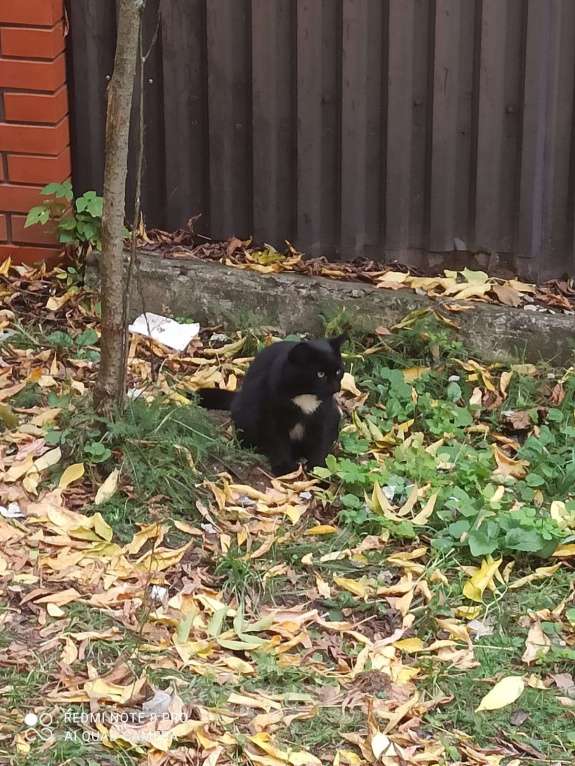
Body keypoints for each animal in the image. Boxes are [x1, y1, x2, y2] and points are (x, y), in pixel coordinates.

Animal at [196, 334, 346, 474]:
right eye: (320, 374)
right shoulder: (271, 418)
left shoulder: (323, 416)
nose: (336, 387)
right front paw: (284, 467)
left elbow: (320, 442)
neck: (305, 396)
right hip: (245, 415)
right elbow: (278, 443)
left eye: (338, 371)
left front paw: (317, 469)